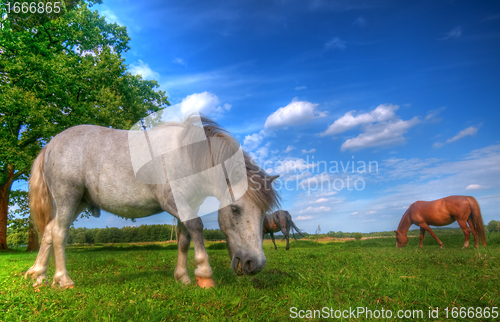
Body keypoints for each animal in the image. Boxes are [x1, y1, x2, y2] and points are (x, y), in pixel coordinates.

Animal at [25, 115, 280, 290]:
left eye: (264, 214)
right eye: (235, 209)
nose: (256, 264)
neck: (187, 156)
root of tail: (51, 144)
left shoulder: (186, 205)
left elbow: (184, 239)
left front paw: (183, 277)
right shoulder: (172, 202)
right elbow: (196, 227)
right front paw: (204, 274)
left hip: (78, 202)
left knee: (49, 231)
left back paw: (39, 275)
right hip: (68, 198)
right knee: (59, 233)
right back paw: (63, 279)